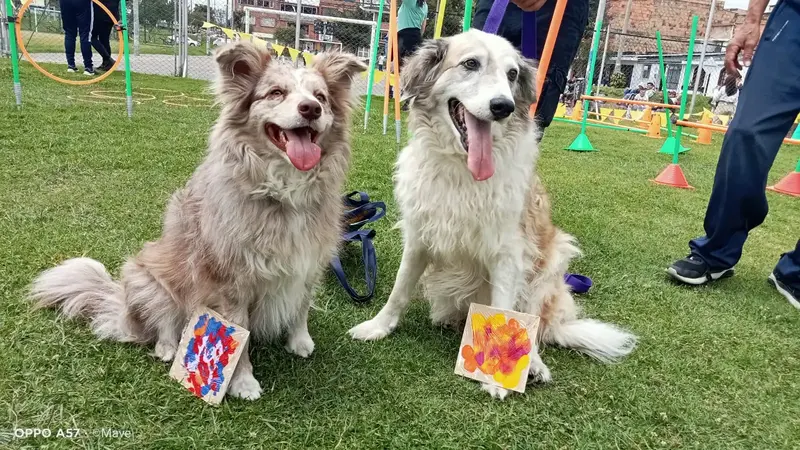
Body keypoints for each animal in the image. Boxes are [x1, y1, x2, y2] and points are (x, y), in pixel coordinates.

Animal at [346, 29, 636, 400]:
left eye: (512, 74)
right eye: (471, 64)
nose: (503, 107)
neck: (462, 171)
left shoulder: (507, 253)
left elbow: (502, 309)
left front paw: (497, 377)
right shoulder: (418, 238)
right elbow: (399, 290)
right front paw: (378, 327)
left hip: (552, 261)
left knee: (534, 326)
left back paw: (534, 364)